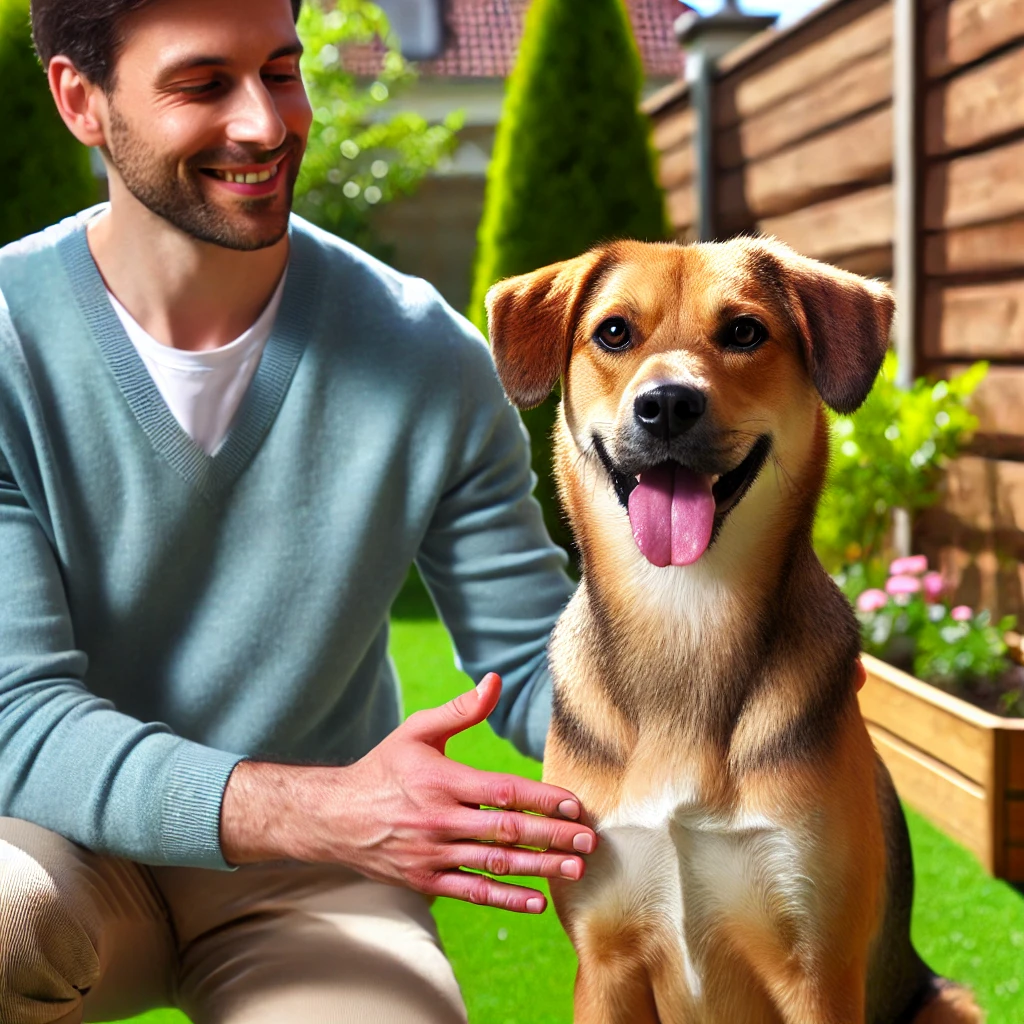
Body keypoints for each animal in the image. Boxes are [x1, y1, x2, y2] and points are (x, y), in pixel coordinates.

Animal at [487, 235, 983, 1019]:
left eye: (745, 332)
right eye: (614, 332)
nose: (666, 404)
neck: (685, 610)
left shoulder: (818, 970)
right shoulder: (603, 963)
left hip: (949, 1002)